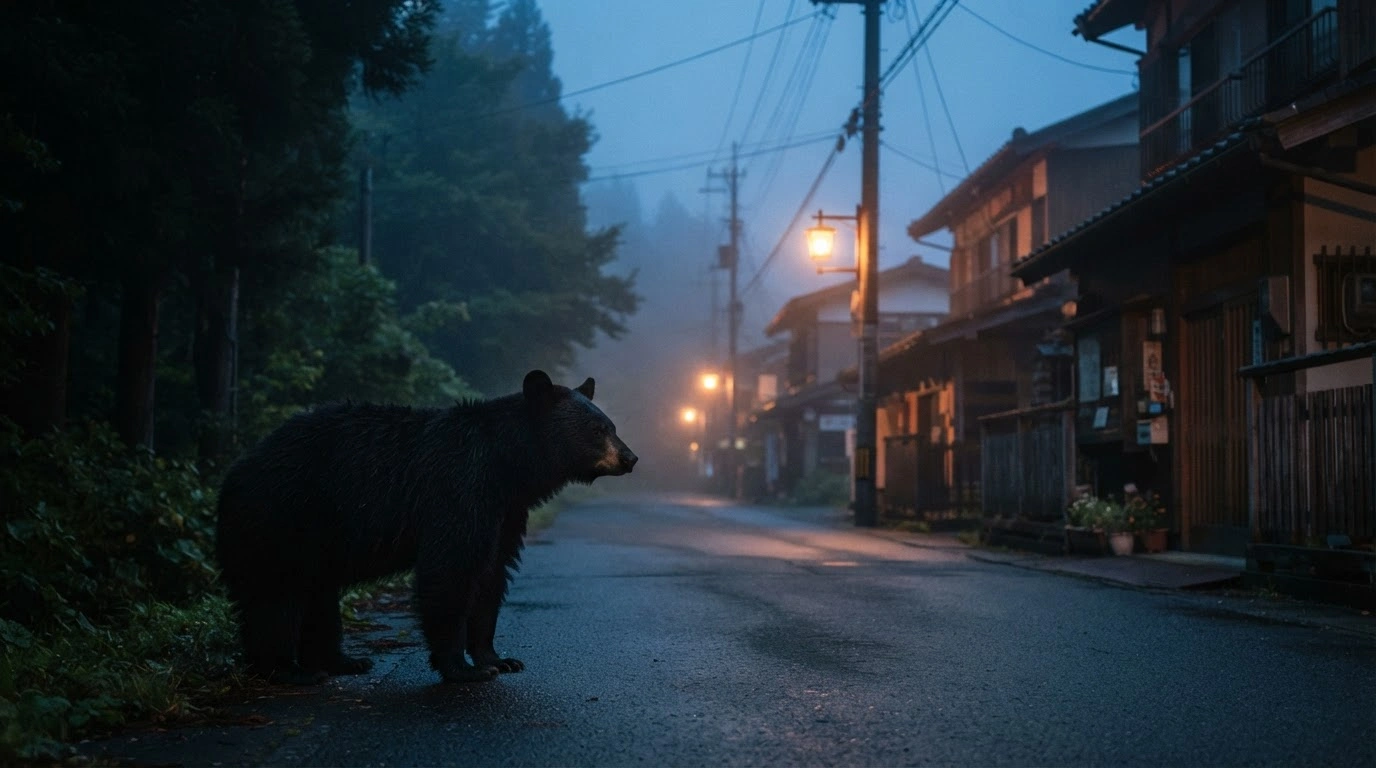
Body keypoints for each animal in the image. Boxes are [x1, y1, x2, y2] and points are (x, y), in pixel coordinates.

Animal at [214, 370, 637, 685]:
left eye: (612, 425)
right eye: (598, 429)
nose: (630, 457)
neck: (508, 464)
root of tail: (232, 474)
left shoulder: (505, 510)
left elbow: (492, 573)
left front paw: (498, 659)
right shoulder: (459, 488)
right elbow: (451, 568)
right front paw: (463, 668)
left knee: (318, 596)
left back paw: (343, 661)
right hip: (282, 518)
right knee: (276, 598)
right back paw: (287, 670)